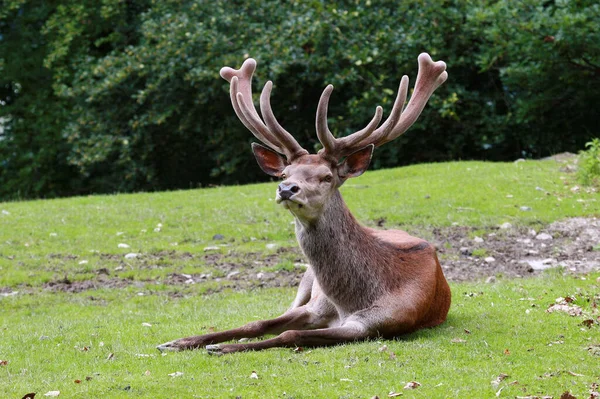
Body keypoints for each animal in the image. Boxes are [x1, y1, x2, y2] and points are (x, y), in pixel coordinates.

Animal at [158, 53, 450, 356]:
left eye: (327, 177)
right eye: (284, 174)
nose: (287, 189)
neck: (349, 302)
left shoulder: (377, 323)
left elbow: (290, 334)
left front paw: (221, 347)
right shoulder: (315, 306)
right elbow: (257, 322)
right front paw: (178, 341)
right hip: (306, 279)